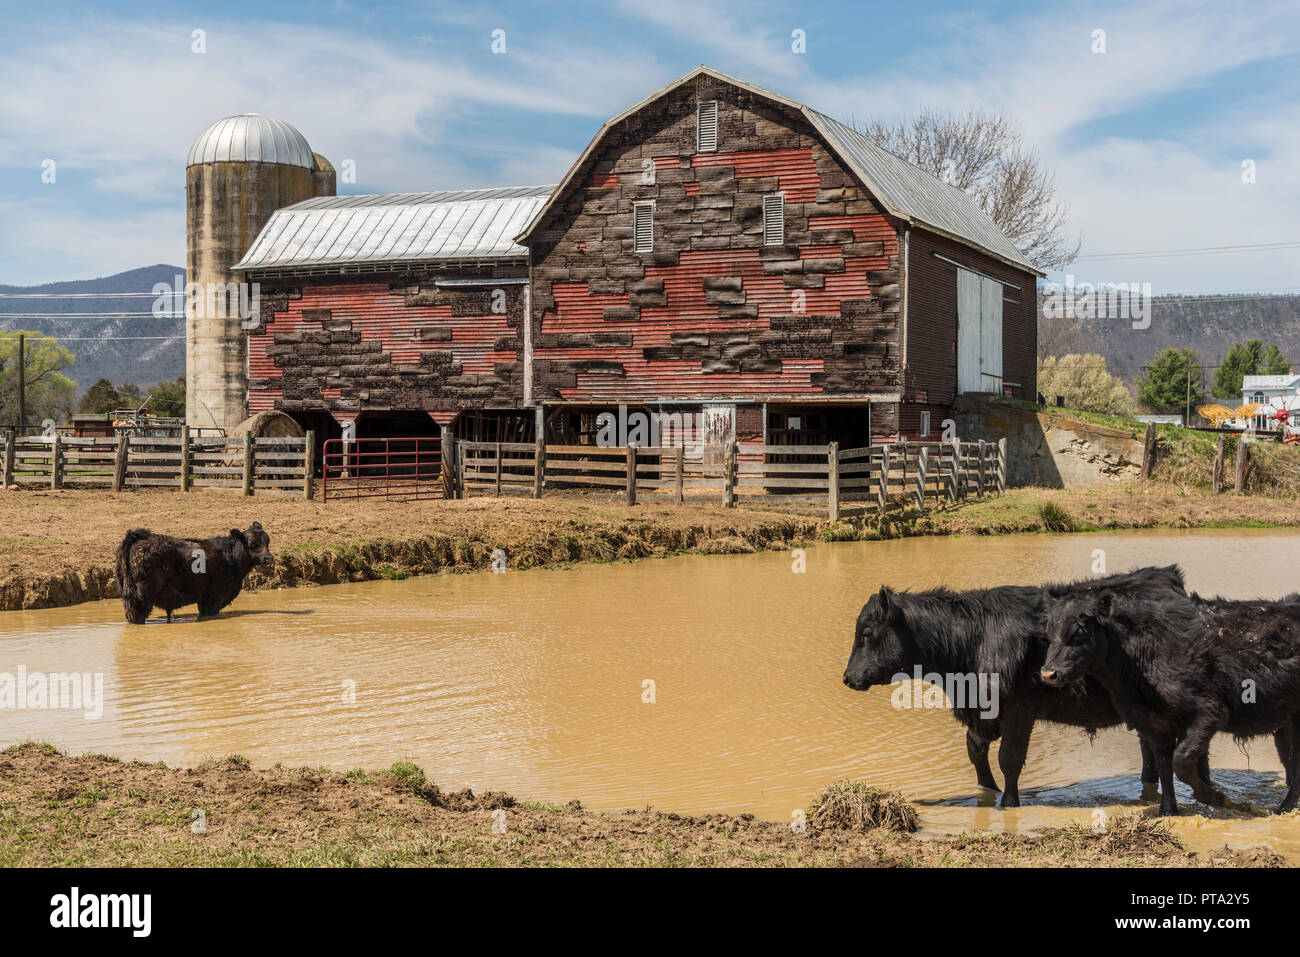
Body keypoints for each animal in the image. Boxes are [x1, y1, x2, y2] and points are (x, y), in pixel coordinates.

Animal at [115, 522, 273, 629]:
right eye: (252, 543)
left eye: (267, 541)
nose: (269, 557)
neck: (230, 557)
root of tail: (139, 537)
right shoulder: (214, 599)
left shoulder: (204, 600)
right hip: (142, 599)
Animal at [837, 566, 1190, 806]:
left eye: (866, 633)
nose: (847, 677)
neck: (976, 639)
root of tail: (1163, 575)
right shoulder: (980, 712)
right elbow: (976, 751)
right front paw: (987, 792)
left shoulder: (1020, 709)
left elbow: (1009, 757)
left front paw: (1008, 803)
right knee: (1147, 744)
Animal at [1040, 574, 1300, 816]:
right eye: (1050, 631)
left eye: (1079, 631)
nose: (1048, 673)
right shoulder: (1154, 723)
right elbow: (1164, 766)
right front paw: (1167, 810)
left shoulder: (1209, 712)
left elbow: (1182, 761)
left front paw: (1216, 797)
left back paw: (1285, 807)